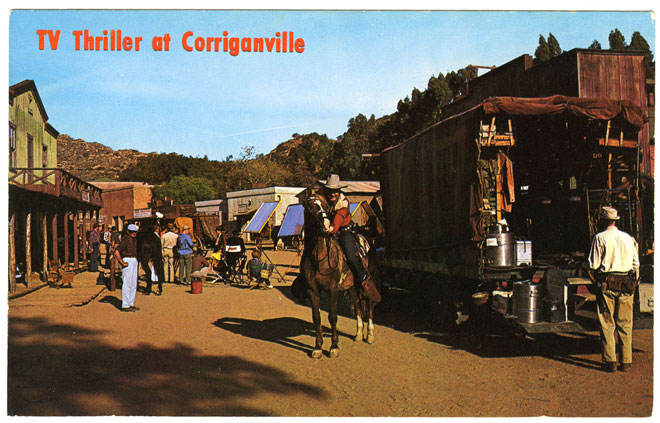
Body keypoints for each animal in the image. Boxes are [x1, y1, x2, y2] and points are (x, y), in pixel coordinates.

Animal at [298, 194, 378, 360]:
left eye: (324, 206)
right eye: (310, 206)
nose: (326, 223)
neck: (318, 257)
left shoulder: (333, 289)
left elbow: (333, 316)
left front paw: (334, 347)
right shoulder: (312, 290)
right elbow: (317, 317)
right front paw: (317, 348)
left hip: (369, 281)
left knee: (369, 305)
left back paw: (370, 335)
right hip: (352, 287)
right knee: (358, 304)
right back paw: (358, 334)